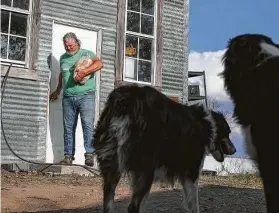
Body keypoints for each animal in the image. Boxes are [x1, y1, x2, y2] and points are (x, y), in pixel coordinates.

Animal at [93, 85, 236, 213]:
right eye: (228, 133)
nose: (235, 150)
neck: (208, 125)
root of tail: (127, 100)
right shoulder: (192, 172)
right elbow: (194, 204)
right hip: (145, 171)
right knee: (132, 207)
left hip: (112, 167)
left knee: (108, 205)